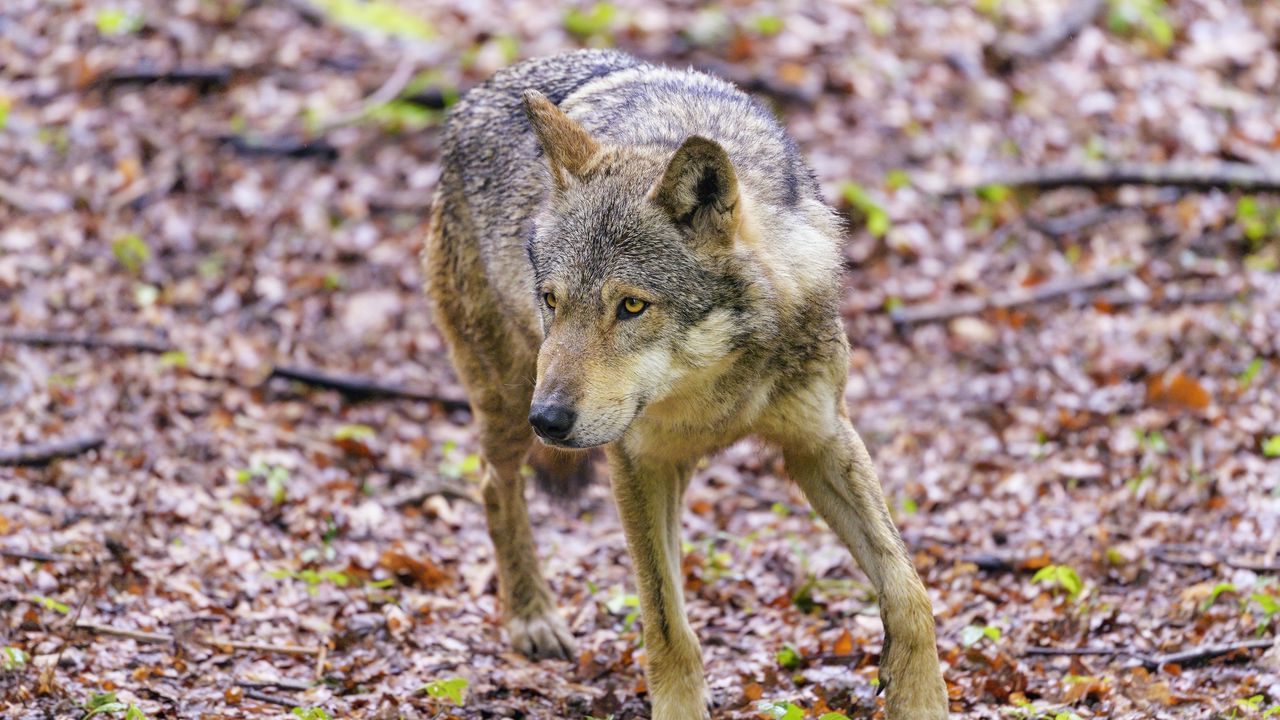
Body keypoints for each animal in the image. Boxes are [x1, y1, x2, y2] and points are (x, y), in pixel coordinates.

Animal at [423, 49, 948, 719]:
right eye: (552, 300)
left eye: (631, 306)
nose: (551, 421)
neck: (717, 382)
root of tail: (470, 101)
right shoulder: (637, 464)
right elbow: (668, 627)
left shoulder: (821, 439)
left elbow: (909, 590)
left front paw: (919, 696)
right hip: (511, 396)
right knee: (494, 486)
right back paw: (532, 616)